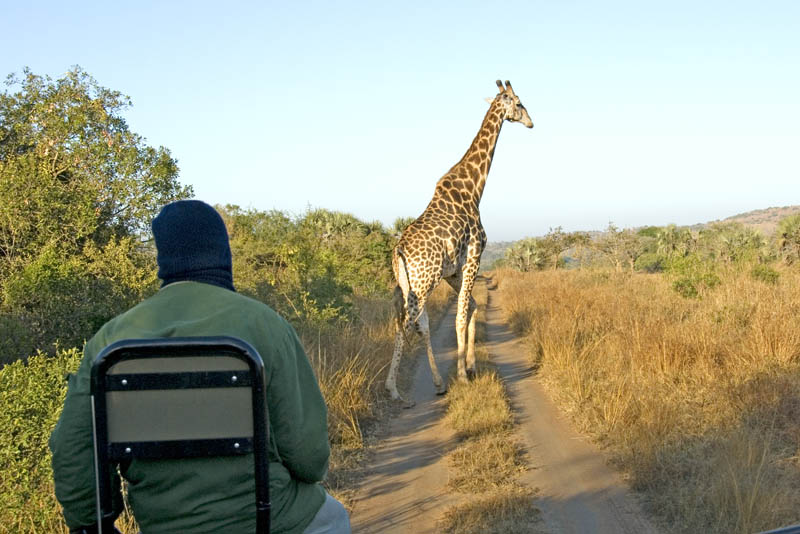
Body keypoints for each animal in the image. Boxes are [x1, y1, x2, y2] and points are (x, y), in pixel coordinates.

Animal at [386, 80, 533, 405]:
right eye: (519, 103)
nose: (531, 122)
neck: (474, 188)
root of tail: (399, 250)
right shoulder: (474, 256)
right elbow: (461, 315)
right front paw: (463, 375)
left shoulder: (454, 270)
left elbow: (473, 307)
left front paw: (471, 366)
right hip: (422, 282)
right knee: (411, 323)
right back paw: (403, 389)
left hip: (407, 284)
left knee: (413, 322)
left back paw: (427, 384)